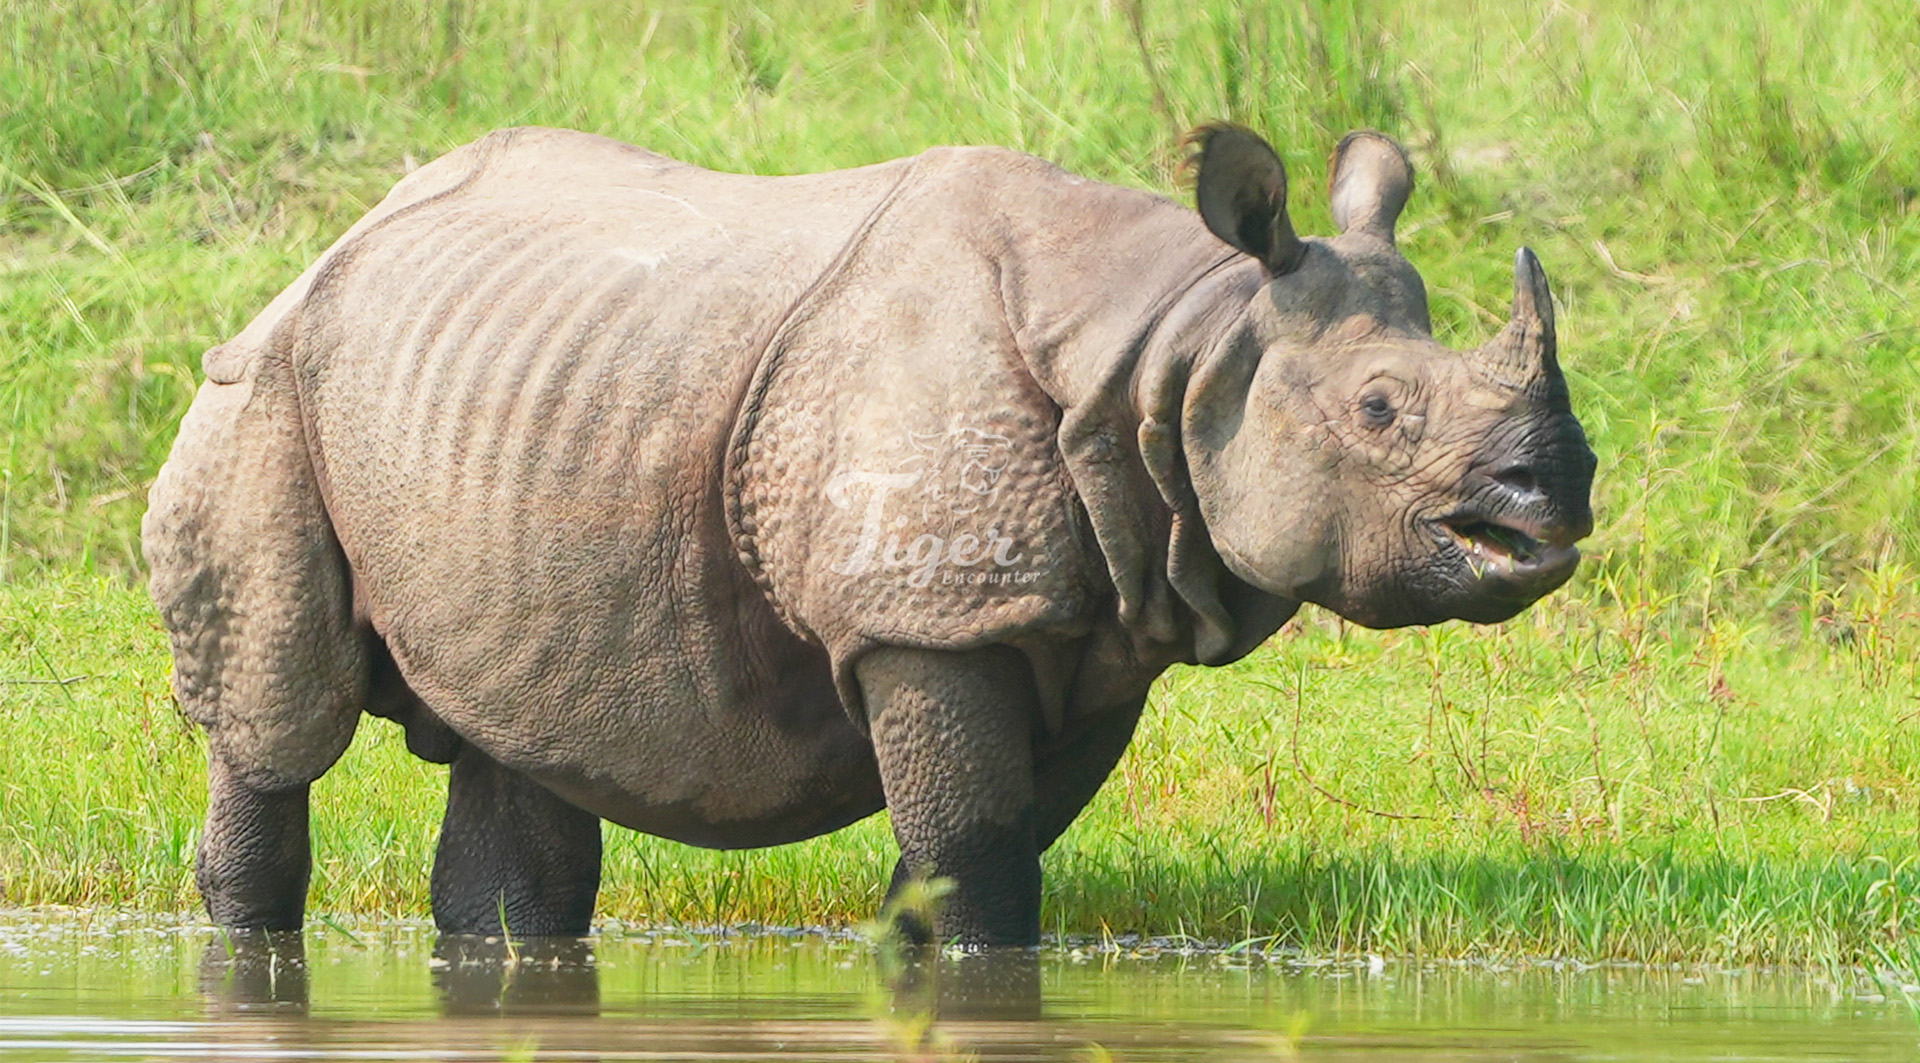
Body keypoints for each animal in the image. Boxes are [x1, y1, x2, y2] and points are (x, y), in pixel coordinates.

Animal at [144, 123, 1594, 946]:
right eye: (1380, 409)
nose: (1558, 493)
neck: (1178, 344)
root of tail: (327, 247)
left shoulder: (1087, 621)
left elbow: (966, 853)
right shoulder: (929, 617)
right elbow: (980, 856)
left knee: (519, 741)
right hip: (262, 389)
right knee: (279, 730)